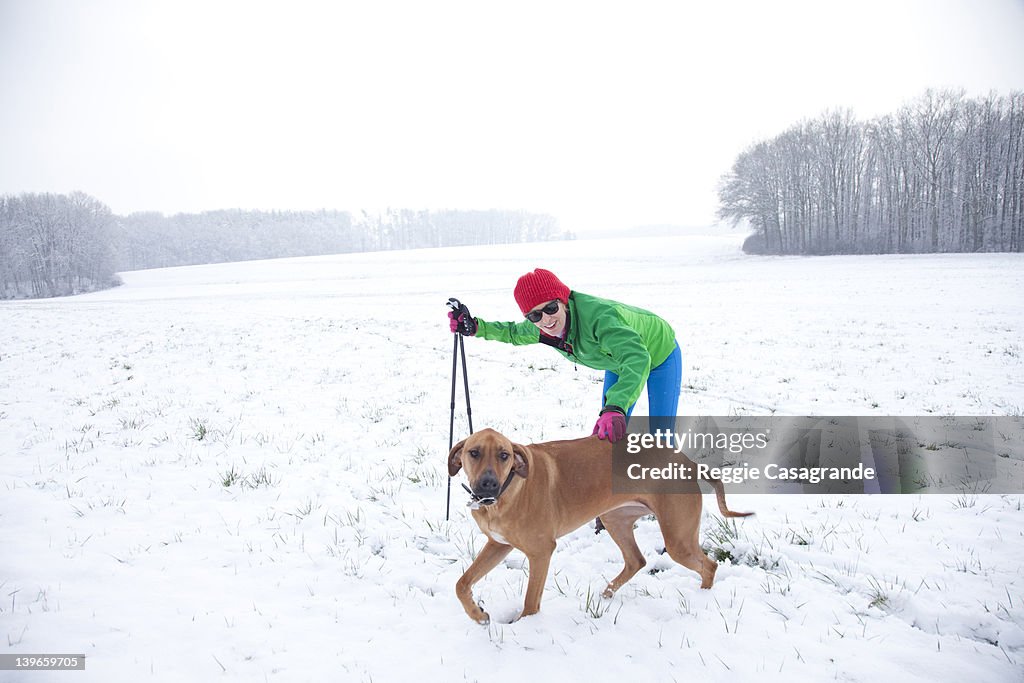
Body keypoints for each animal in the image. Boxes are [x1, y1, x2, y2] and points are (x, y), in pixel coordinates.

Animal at [448, 432, 753, 626]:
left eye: (504, 455)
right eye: (473, 453)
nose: (488, 484)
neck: (508, 491)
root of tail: (690, 464)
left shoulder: (541, 552)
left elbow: (531, 603)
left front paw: (525, 627)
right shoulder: (498, 544)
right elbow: (461, 584)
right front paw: (478, 615)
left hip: (678, 538)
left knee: (709, 565)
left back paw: (702, 596)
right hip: (615, 519)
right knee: (636, 560)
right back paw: (607, 594)